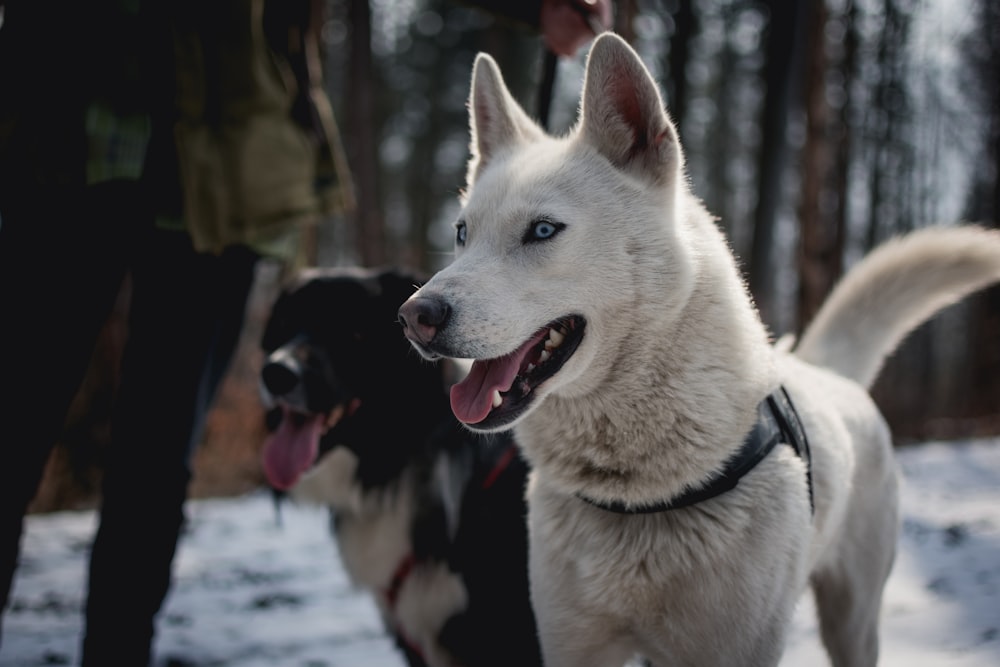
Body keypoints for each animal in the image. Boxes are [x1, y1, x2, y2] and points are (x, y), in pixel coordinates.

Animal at [396, 31, 1000, 667]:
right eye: (462, 233)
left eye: (542, 230)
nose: (415, 317)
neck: (636, 491)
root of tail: (828, 370)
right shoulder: (572, 644)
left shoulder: (735, 648)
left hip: (852, 619)